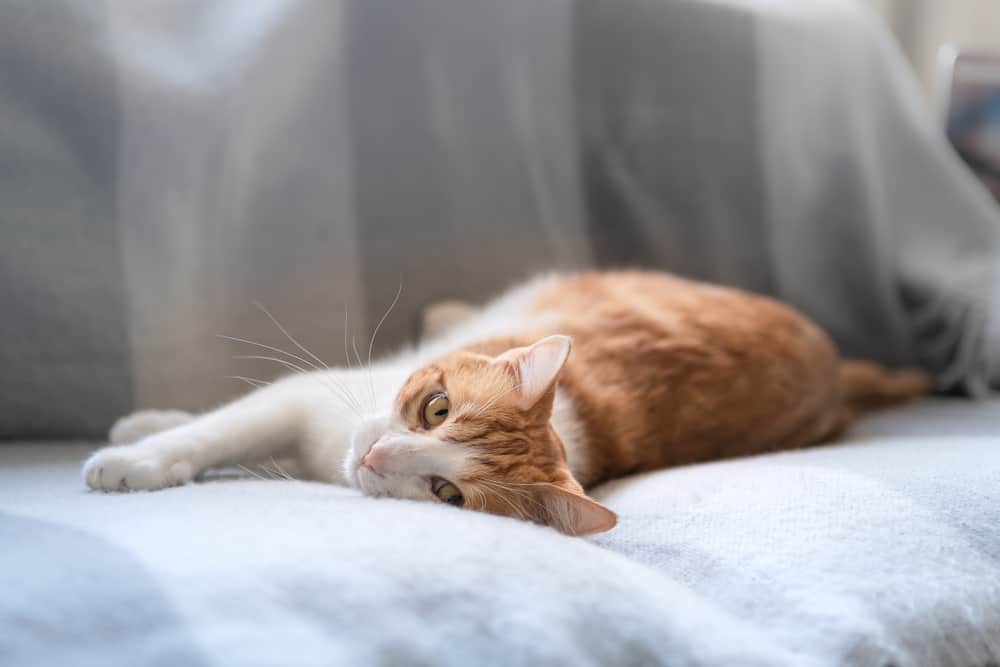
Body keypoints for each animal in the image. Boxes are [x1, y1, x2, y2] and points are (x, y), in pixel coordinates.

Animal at [84, 272, 928, 536]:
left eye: (446, 491)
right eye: (435, 409)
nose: (375, 454)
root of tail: (836, 367)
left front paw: (137, 452)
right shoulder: (314, 399)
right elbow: (224, 424)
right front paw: (144, 439)